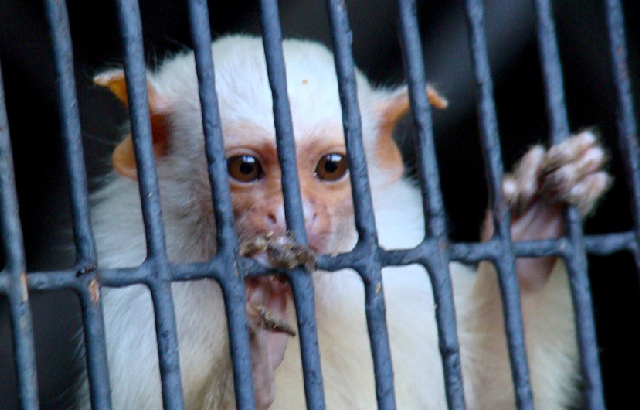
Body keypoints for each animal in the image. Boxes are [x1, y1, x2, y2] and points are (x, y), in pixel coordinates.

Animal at [86, 35, 610, 409]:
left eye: (331, 166)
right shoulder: (136, 308)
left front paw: (532, 230)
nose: (292, 215)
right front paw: (248, 368)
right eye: (246, 169)